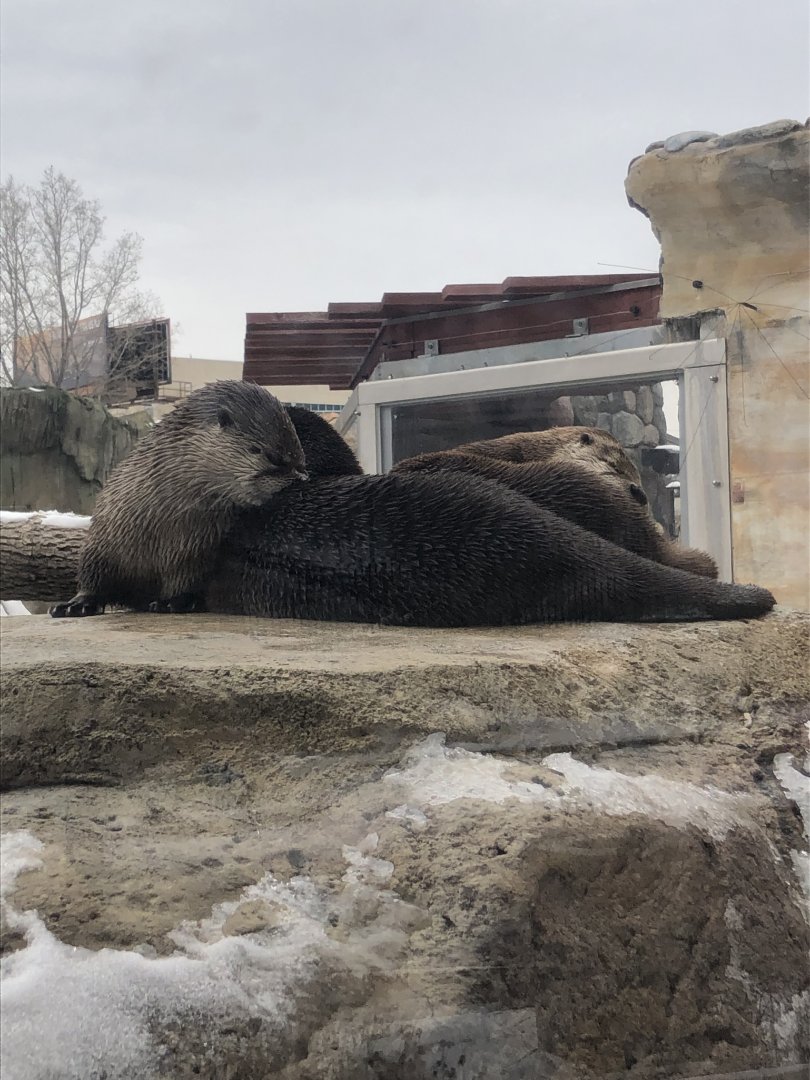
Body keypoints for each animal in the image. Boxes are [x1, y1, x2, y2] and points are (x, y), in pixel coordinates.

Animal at [50, 381, 308, 617]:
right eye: (268, 455)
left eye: (300, 462)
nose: (300, 479)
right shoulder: (104, 536)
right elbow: (93, 577)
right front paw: (76, 604)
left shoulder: (195, 554)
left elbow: (189, 583)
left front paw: (174, 602)